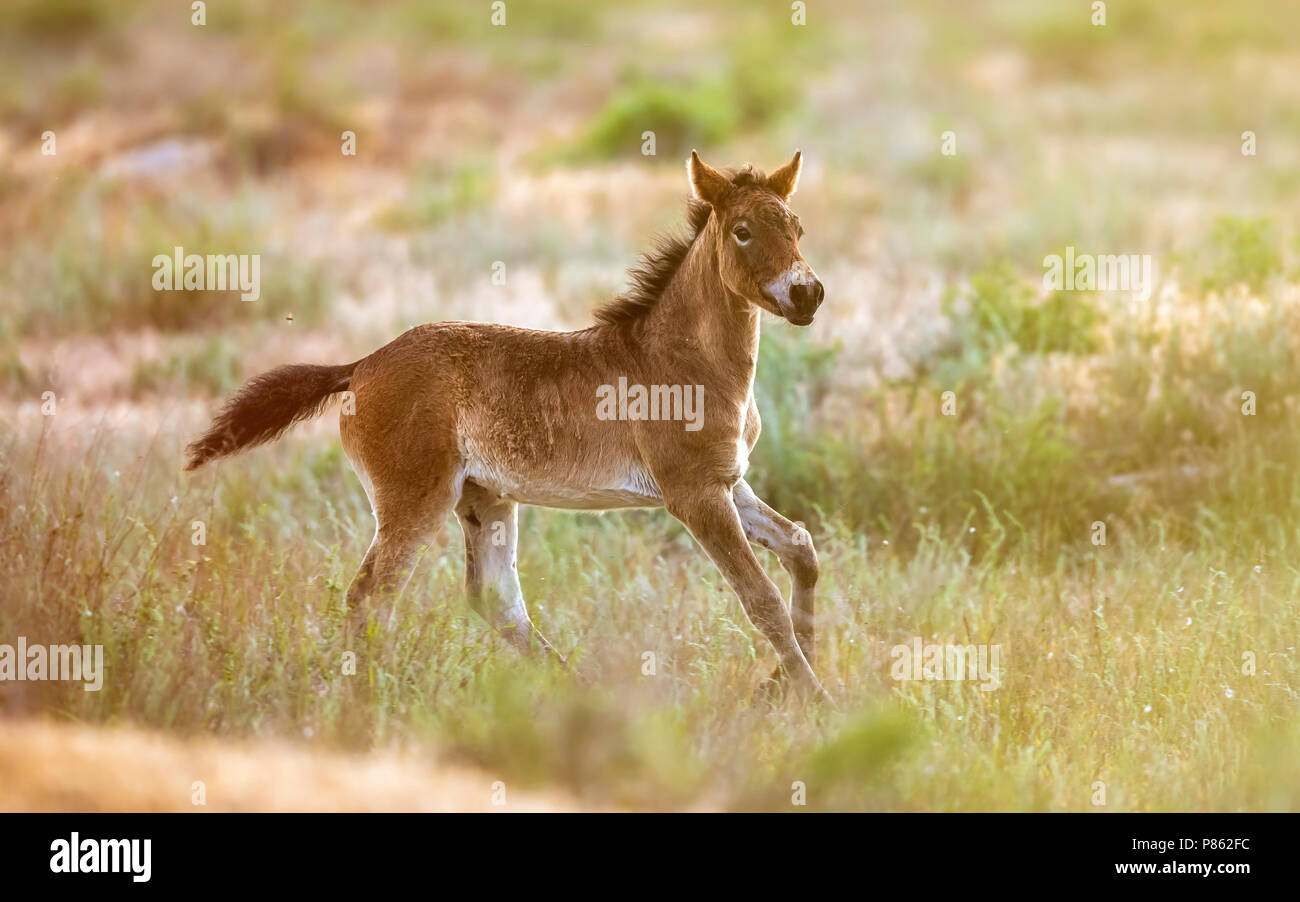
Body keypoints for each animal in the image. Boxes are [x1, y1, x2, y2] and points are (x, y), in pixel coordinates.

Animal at [185, 150, 831, 704]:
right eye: (742, 230)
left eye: (797, 226)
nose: (807, 294)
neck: (683, 361)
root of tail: (360, 366)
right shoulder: (694, 493)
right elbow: (760, 597)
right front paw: (815, 699)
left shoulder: (729, 482)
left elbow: (800, 547)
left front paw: (787, 677)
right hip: (416, 500)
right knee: (371, 596)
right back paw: (365, 704)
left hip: (484, 498)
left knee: (496, 600)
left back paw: (576, 696)